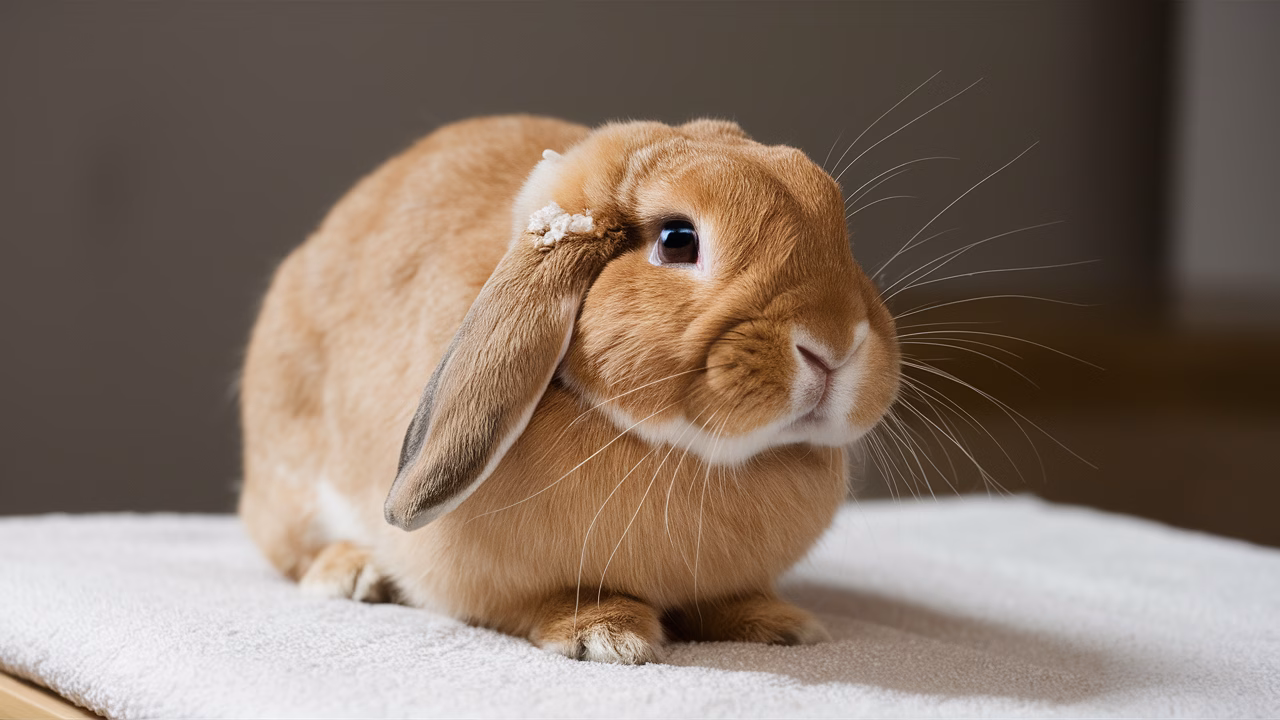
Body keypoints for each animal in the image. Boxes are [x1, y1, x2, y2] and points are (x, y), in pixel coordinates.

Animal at [239, 114, 900, 664]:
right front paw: (606, 635)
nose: (835, 344)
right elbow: (545, 604)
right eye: (677, 239)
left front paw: (780, 624)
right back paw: (353, 572)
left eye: (839, 229)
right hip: (288, 481)